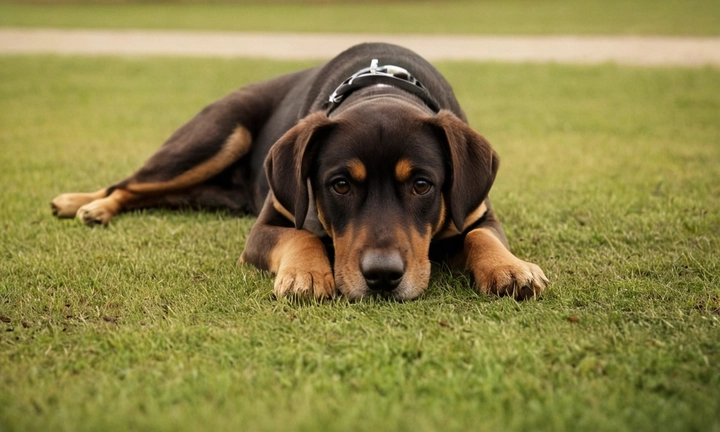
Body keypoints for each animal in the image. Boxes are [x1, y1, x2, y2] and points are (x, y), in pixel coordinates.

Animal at [50, 43, 548, 300]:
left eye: (422, 185)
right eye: (340, 184)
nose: (382, 276)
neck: (380, 87)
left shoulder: (478, 210)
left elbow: (479, 235)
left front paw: (511, 268)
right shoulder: (265, 227)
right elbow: (300, 235)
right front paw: (306, 274)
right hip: (212, 138)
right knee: (128, 183)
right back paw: (86, 204)